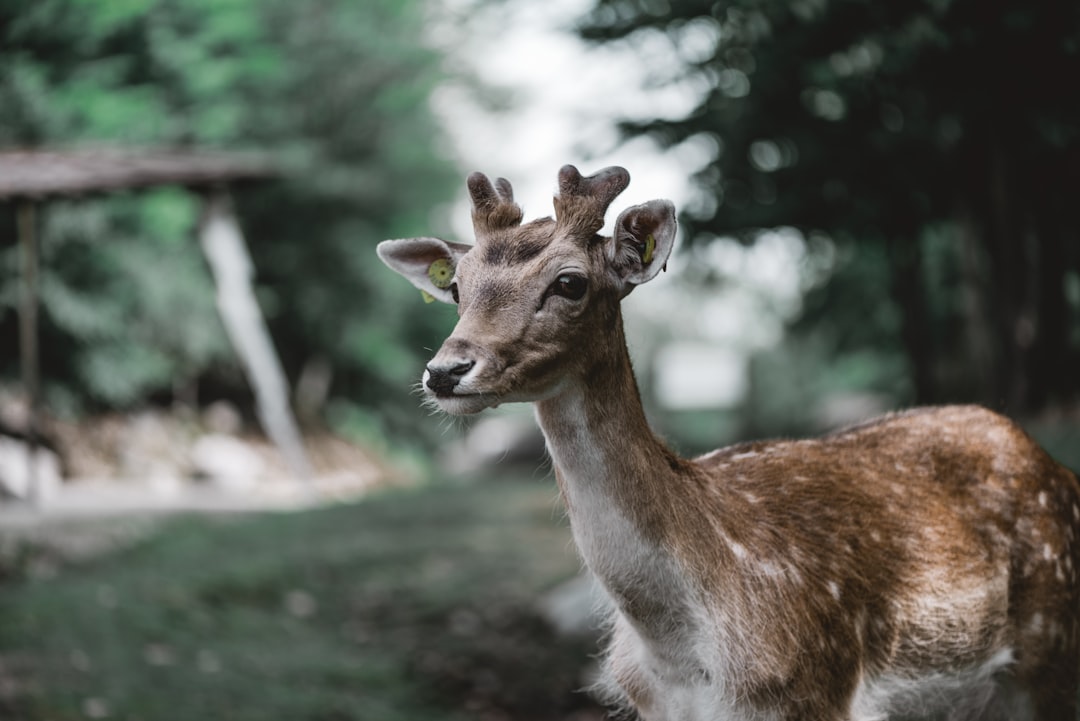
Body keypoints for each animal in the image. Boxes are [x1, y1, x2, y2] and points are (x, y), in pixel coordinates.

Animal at [378, 165, 1080, 721]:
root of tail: (1059, 470)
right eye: (458, 286)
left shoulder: (817, 695)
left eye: (570, 282)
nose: (445, 371)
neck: (683, 650)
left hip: (1050, 662)